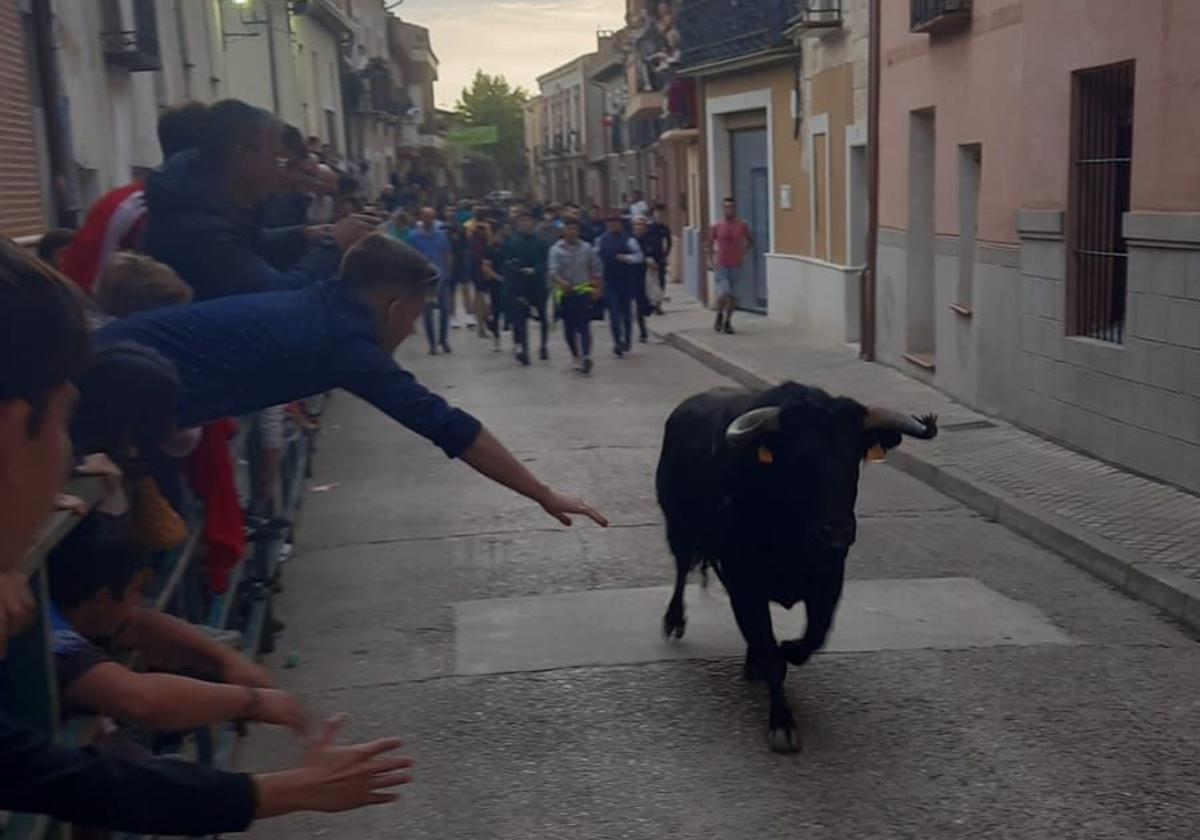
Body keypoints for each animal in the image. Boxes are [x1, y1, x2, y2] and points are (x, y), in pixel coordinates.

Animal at [657, 384, 936, 753]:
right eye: (801, 460)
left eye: (853, 457)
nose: (837, 532)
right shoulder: (746, 584)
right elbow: (773, 657)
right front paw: (783, 724)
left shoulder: (828, 580)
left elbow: (812, 637)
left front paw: (788, 648)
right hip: (679, 529)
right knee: (681, 568)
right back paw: (675, 620)